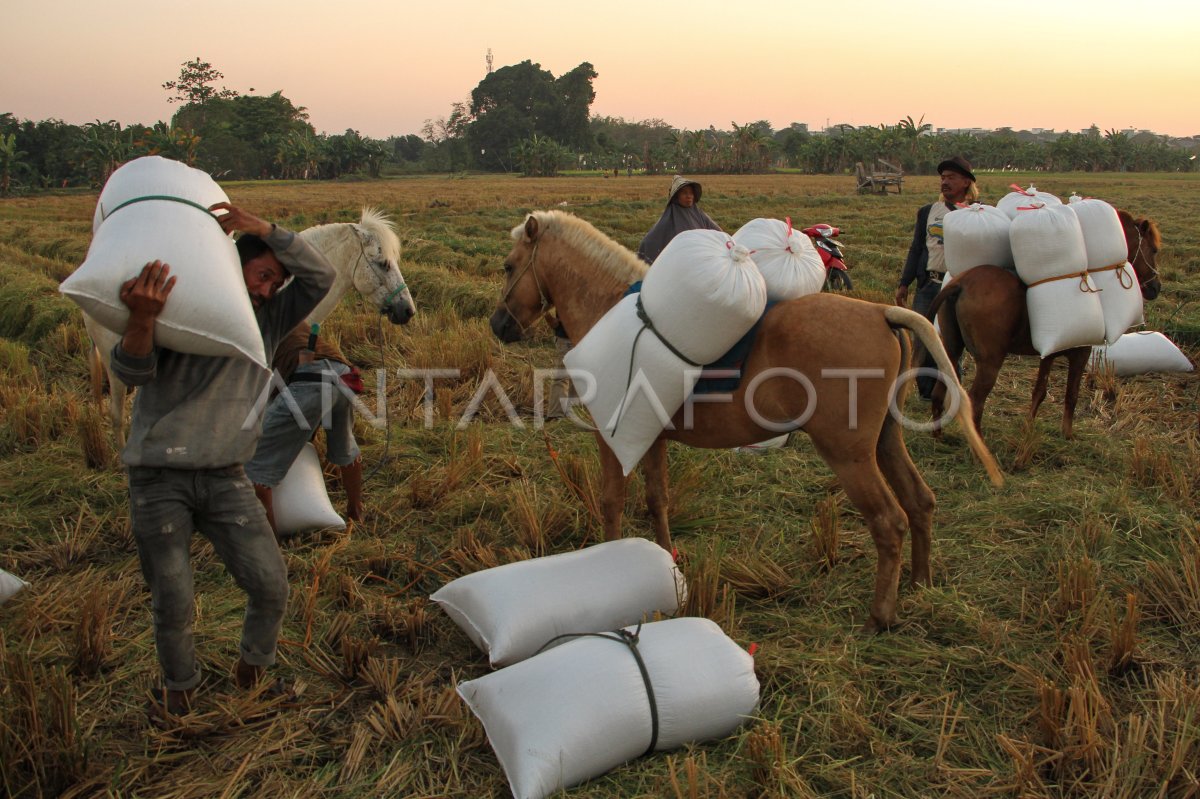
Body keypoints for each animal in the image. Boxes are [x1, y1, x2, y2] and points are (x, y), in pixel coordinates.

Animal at [487, 211, 1003, 633]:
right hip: (885, 441)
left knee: (889, 522)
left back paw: (881, 616)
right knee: (920, 502)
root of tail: (883, 312)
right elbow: (657, 500)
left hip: (850, 455)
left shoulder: (612, 439)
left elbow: (612, 503)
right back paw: (919, 584)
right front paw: (667, 563)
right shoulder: (649, 438)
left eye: (509, 266)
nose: (498, 325)